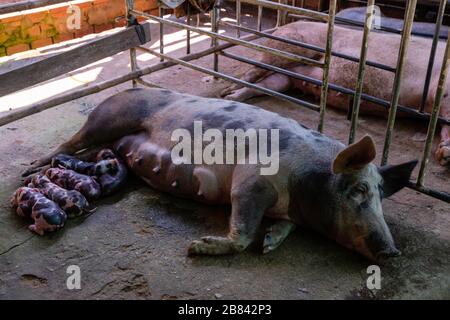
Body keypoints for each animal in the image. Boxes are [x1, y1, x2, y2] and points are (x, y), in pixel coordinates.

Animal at [23, 87, 418, 260]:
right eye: (358, 190)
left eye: (381, 195)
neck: (304, 185)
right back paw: (31, 169)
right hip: (107, 118)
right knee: (70, 142)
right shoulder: (250, 181)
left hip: (110, 139)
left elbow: (282, 227)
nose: (393, 251)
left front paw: (269, 242)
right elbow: (242, 232)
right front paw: (196, 247)